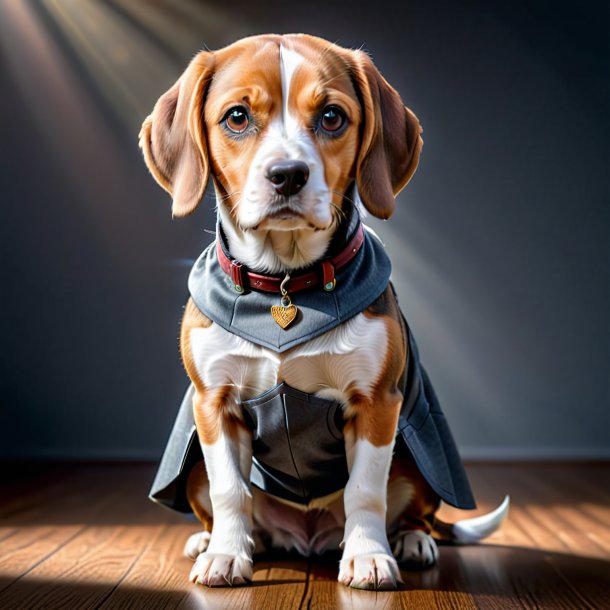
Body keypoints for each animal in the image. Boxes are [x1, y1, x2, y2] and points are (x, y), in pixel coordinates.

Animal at [140, 34, 506, 588]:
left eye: (332, 117)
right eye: (237, 117)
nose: (288, 175)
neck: (285, 287)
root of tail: (308, 538)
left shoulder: (377, 403)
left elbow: (365, 491)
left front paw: (369, 557)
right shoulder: (213, 404)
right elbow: (230, 490)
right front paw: (226, 553)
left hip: (417, 453)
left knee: (415, 510)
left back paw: (411, 541)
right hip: (195, 463)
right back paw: (218, 540)